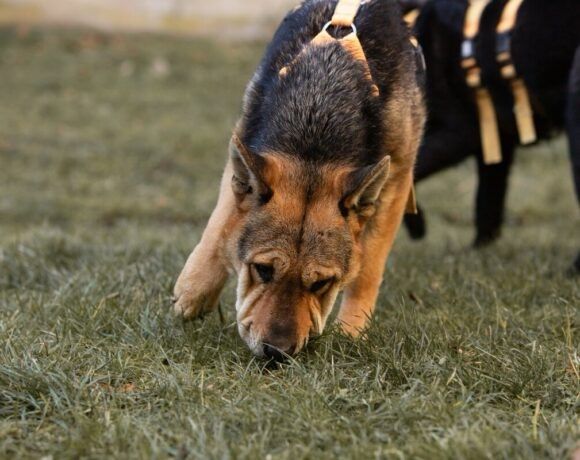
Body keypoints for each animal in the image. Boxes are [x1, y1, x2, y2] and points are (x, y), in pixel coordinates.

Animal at [173, 0, 426, 360]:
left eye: (321, 283)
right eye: (263, 270)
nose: (277, 353)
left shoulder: (398, 178)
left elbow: (368, 269)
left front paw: (352, 332)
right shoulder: (245, 146)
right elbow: (220, 222)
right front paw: (194, 291)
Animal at [398, 0, 580, 272]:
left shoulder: (459, 134)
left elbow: (410, 172)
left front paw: (416, 225)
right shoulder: (495, 143)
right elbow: (487, 203)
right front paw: (478, 252)